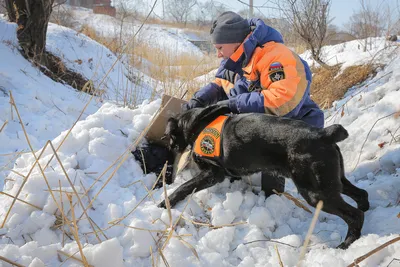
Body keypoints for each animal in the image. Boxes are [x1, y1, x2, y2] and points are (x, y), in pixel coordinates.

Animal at [159, 105, 368, 251]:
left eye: (169, 136)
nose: (169, 151)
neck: (198, 124)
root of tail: (324, 134)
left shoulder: (213, 173)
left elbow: (184, 187)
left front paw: (165, 203)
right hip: (334, 181)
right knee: (361, 194)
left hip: (316, 194)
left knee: (355, 216)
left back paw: (347, 244)